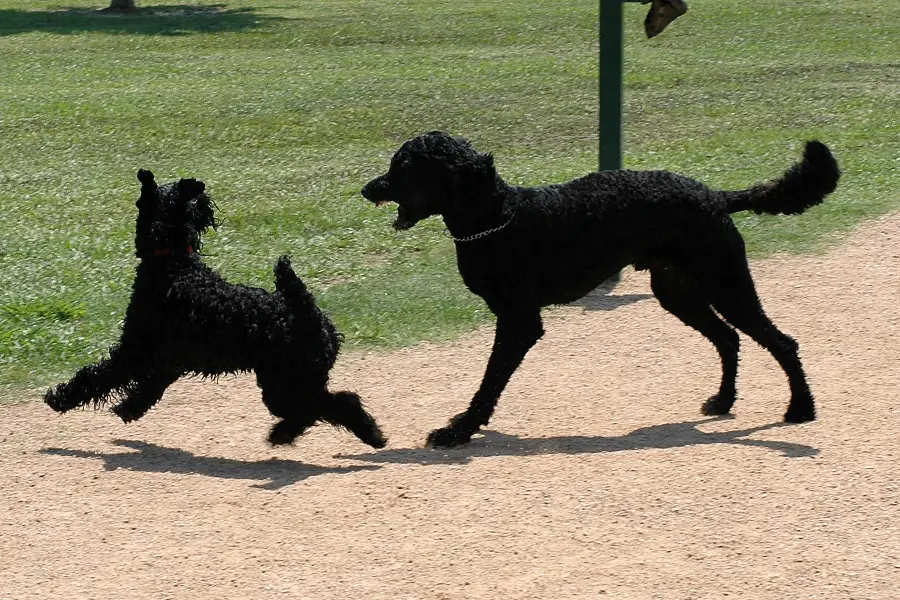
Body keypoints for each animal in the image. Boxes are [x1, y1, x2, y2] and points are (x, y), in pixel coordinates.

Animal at [44, 171, 386, 448]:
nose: (205, 199)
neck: (175, 264)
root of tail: (310, 315)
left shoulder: (136, 351)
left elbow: (97, 376)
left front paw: (60, 398)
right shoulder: (170, 360)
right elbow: (150, 387)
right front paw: (130, 409)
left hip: (284, 384)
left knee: (317, 408)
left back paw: (283, 434)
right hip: (297, 381)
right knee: (340, 402)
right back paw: (372, 436)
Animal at [362, 134, 840, 448]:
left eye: (405, 167)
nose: (368, 189)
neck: (497, 217)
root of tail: (714, 196)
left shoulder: (519, 321)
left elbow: (489, 382)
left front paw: (460, 429)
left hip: (726, 284)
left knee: (781, 342)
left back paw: (801, 408)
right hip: (679, 292)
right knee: (729, 338)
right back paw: (723, 401)